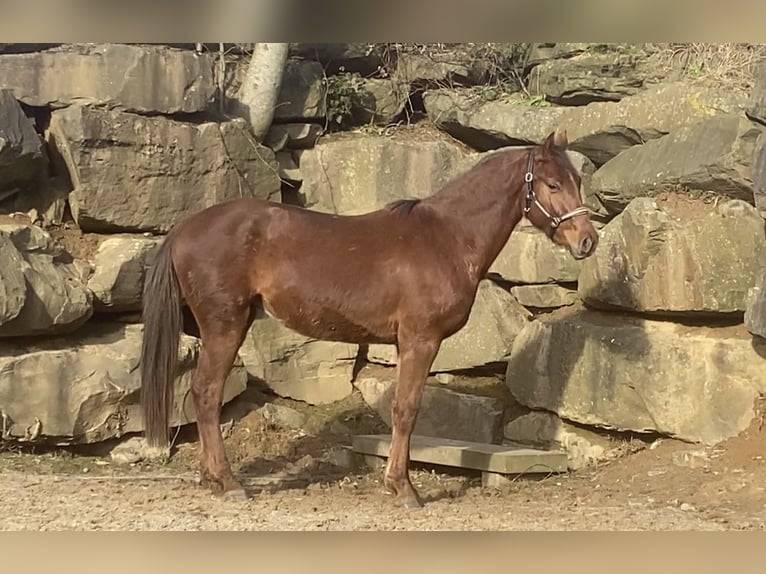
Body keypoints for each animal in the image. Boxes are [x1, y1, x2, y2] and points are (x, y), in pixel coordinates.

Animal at [141, 129, 604, 508]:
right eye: (552, 184)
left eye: (577, 182)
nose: (587, 241)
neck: (446, 239)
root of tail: (184, 228)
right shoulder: (420, 340)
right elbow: (406, 408)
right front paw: (403, 488)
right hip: (225, 324)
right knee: (206, 394)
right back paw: (228, 482)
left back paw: (213, 479)